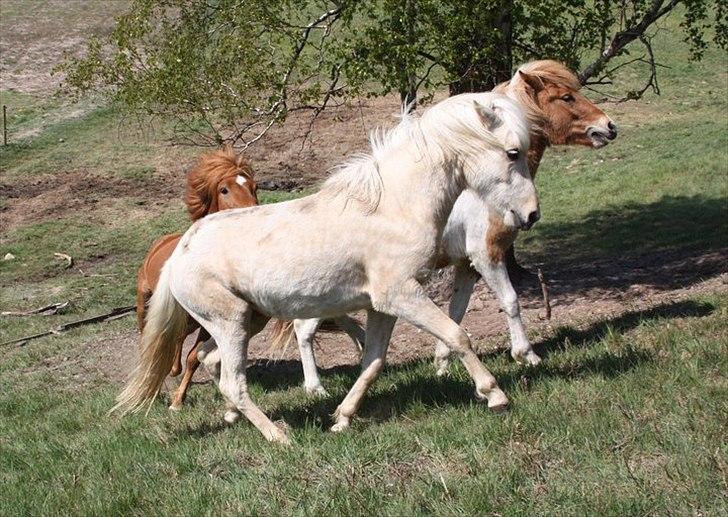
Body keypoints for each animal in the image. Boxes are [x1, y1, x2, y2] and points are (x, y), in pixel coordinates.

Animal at [134, 147, 258, 410]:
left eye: (254, 186)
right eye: (224, 189)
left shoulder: (209, 324)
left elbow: (194, 357)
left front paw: (178, 400)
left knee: (179, 339)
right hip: (144, 300)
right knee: (146, 335)